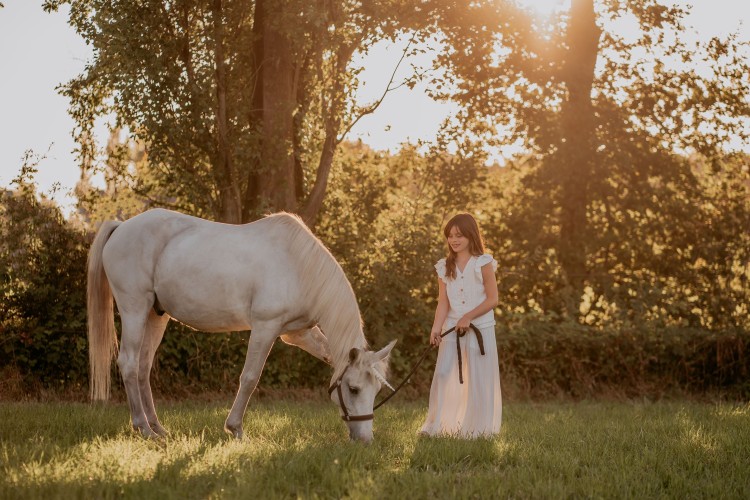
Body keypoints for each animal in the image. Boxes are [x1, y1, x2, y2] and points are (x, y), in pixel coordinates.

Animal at [87, 208, 396, 442]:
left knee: (142, 367)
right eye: (353, 389)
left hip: (155, 316)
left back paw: (158, 428)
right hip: (135, 309)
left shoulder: (299, 333)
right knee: (128, 363)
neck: (298, 266)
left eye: (376, 391)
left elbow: (329, 354)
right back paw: (143, 428)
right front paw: (235, 428)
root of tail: (122, 226)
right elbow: (249, 378)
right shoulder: (265, 327)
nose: (365, 440)